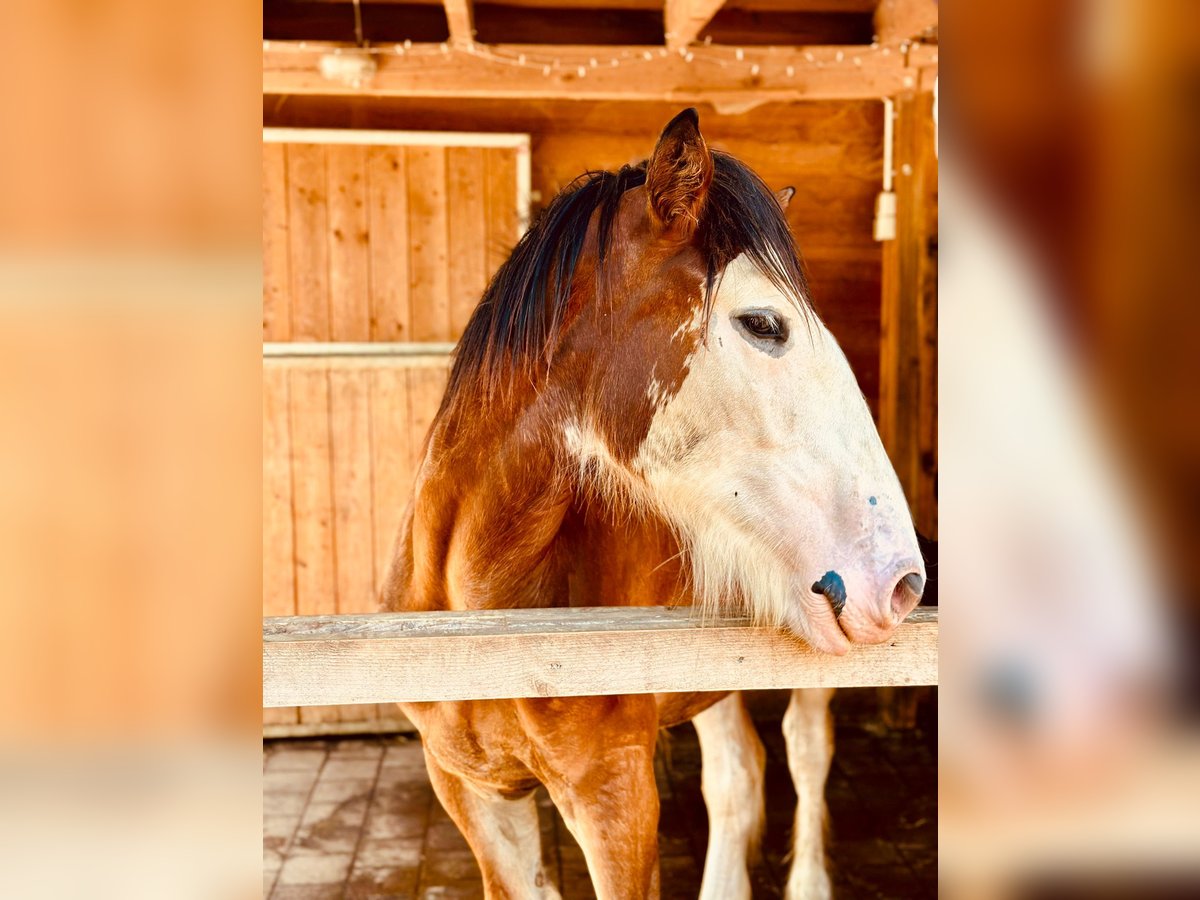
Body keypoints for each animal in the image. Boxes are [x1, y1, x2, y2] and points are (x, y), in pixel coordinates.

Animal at [379, 109, 921, 897]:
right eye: (765, 324)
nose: (904, 580)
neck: (485, 617)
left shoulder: (615, 797)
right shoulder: (474, 797)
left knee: (804, 750)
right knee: (737, 777)